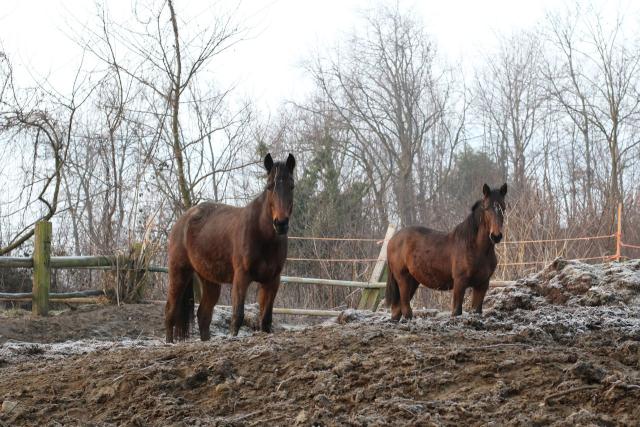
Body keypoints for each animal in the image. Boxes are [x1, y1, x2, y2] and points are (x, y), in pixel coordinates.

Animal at [164, 152, 296, 342]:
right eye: (269, 186)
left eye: (292, 186)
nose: (281, 224)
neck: (262, 236)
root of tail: (182, 220)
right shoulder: (241, 277)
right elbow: (237, 316)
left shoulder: (272, 280)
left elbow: (266, 320)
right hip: (178, 273)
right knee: (170, 312)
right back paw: (169, 343)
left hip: (209, 280)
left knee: (203, 316)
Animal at [384, 184, 504, 320]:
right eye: (486, 208)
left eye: (503, 207)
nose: (496, 236)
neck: (476, 248)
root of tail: (392, 240)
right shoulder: (459, 282)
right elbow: (456, 311)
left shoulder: (482, 284)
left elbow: (476, 311)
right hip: (403, 279)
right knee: (405, 308)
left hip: (413, 281)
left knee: (397, 310)